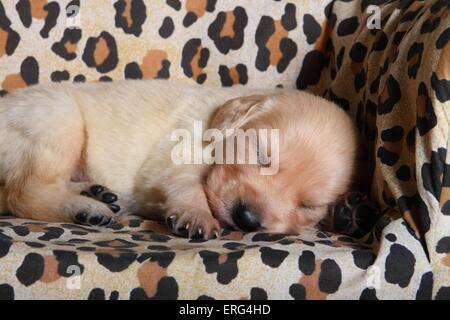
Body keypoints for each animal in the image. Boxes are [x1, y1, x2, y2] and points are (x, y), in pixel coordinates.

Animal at [0, 81, 358, 239]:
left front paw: (350, 213)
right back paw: (84, 208)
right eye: (259, 154)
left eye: (309, 205)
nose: (247, 219)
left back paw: (93, 193)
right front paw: (196, 214)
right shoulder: (172, 156)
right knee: (22, 193)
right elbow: (185, 183)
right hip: (56, 119)